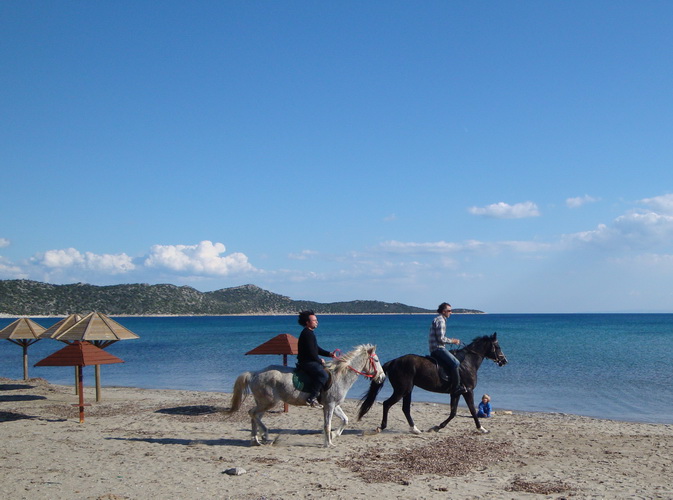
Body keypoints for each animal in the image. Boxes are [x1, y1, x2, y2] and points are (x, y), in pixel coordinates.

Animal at [226, 346, 384, 448]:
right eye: (376, 361)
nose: (382, 377)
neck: (340, 376)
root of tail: (254, 374)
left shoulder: (334, 405)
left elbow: (345, 420)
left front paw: (333, 436)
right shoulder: (330, 405)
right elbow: (327, 424)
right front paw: (329, 443)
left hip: (263, 403)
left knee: (255, 416)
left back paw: (257, 439)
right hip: (268, 403)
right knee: (252, 413)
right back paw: (263, 435)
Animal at [356, 332, 504, 434]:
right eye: (497, 346)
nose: (504, 360)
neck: (468, 362)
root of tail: (394, 361)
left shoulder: (455, 393)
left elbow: (453, 412)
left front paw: (437, 427)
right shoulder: (468, 391)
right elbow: (472, 410)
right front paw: (482, 428)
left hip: (408, 390)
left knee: (405, 408)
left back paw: (415, 429)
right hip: (401, 390)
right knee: (387, 404)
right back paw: (382, 427)